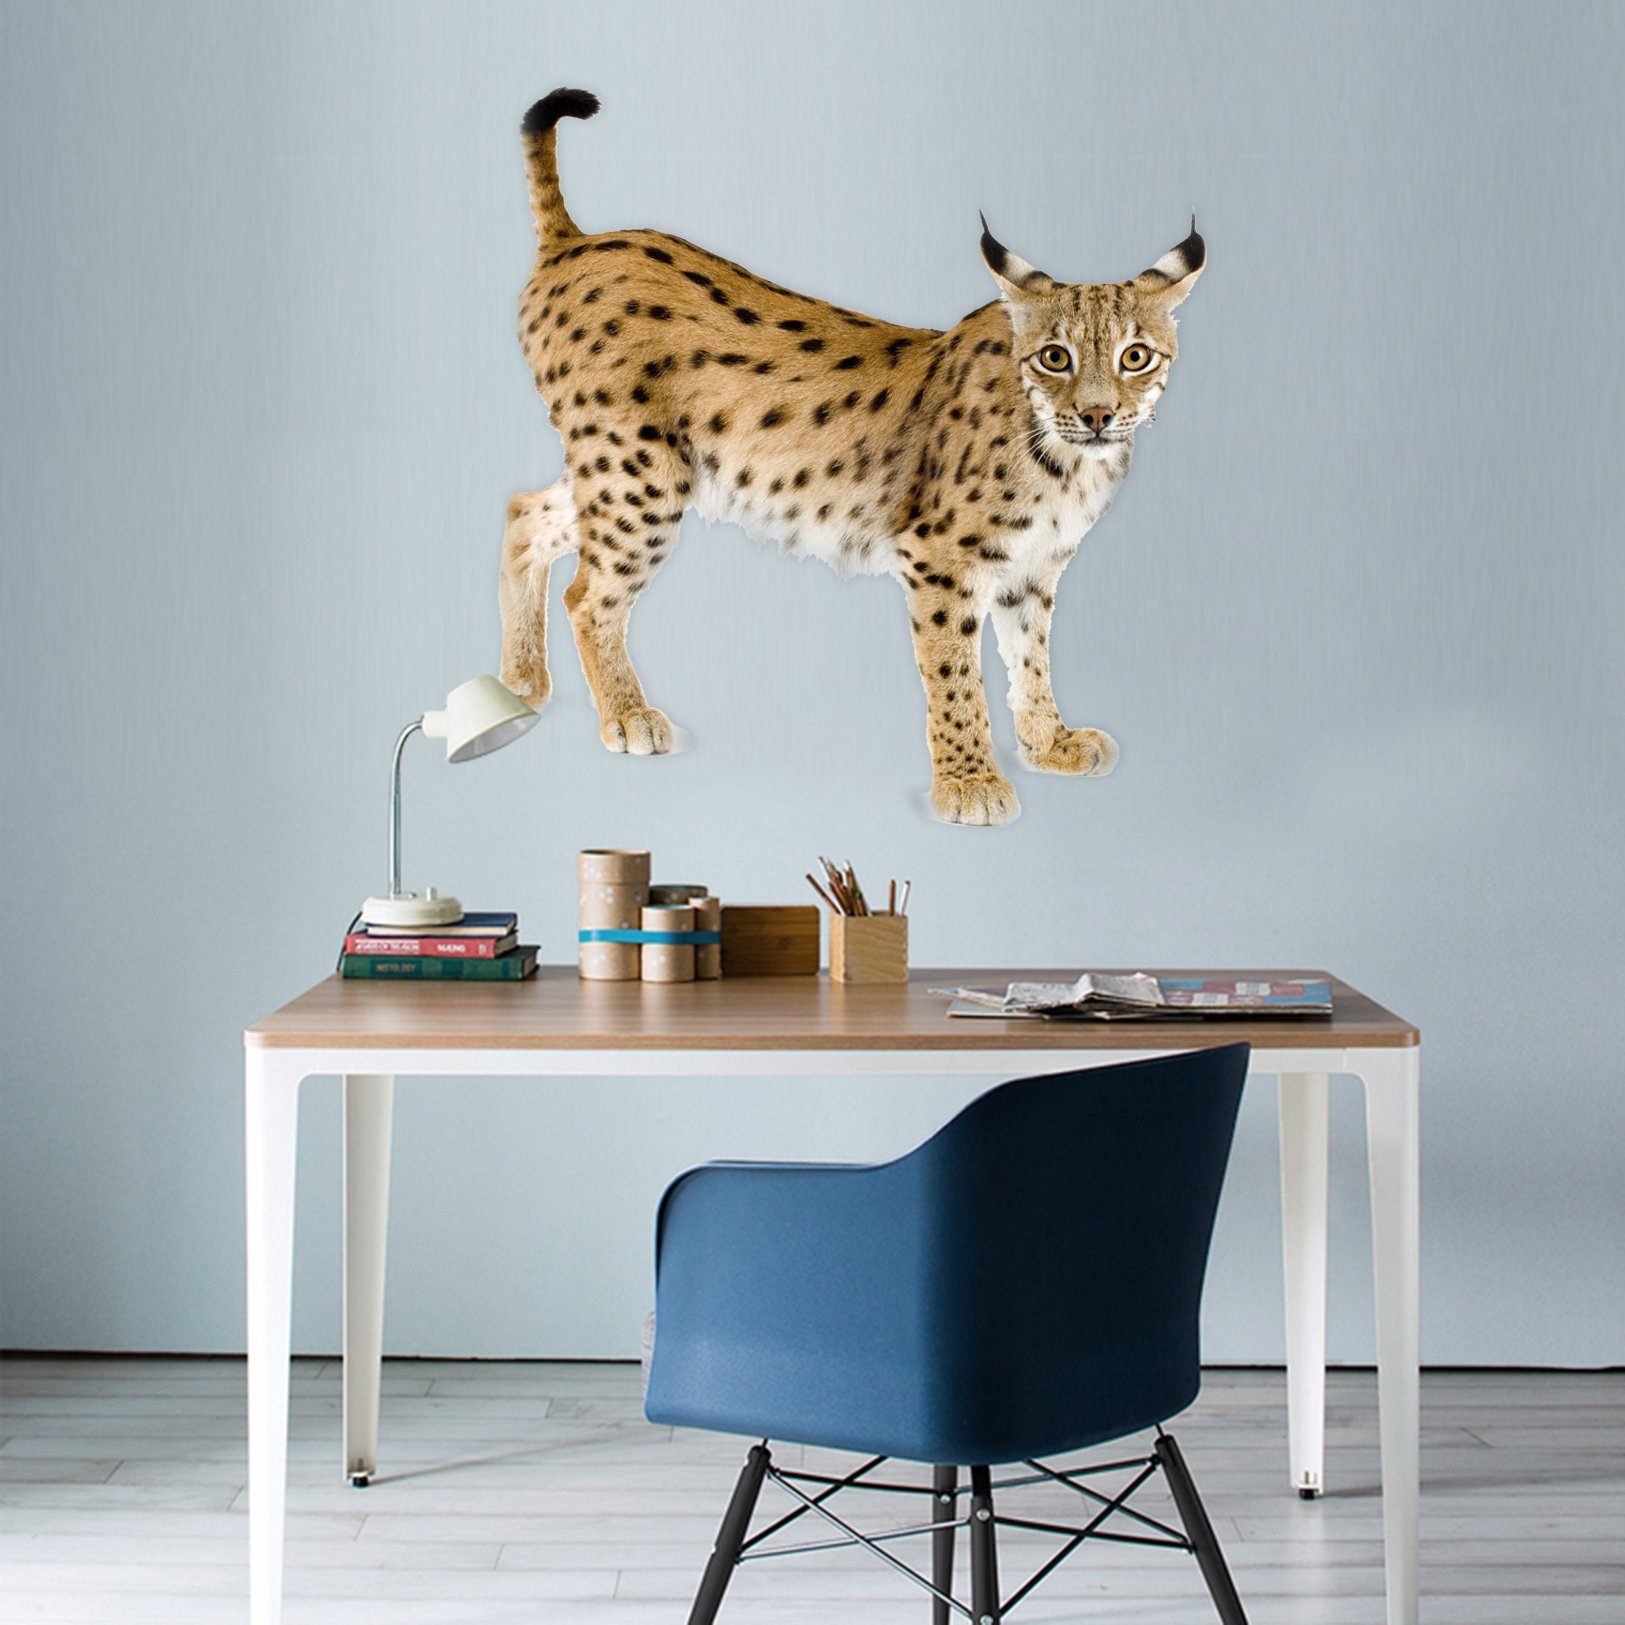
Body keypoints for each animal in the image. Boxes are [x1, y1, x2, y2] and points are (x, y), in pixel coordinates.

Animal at [499, 89, 1204, 826]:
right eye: (1055, 358)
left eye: (1135, 357)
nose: (1098, 415)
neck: (1067, 457)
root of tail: (577, 242)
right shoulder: (939, 557)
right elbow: (955, 671)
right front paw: (968, 781)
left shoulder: (1032, 565)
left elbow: (1030, 656)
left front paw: (1047, 743)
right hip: (642, 474)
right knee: (586, 594)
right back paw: (626, 714)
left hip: (624, 468)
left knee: (523, 510)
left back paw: (521, 680)